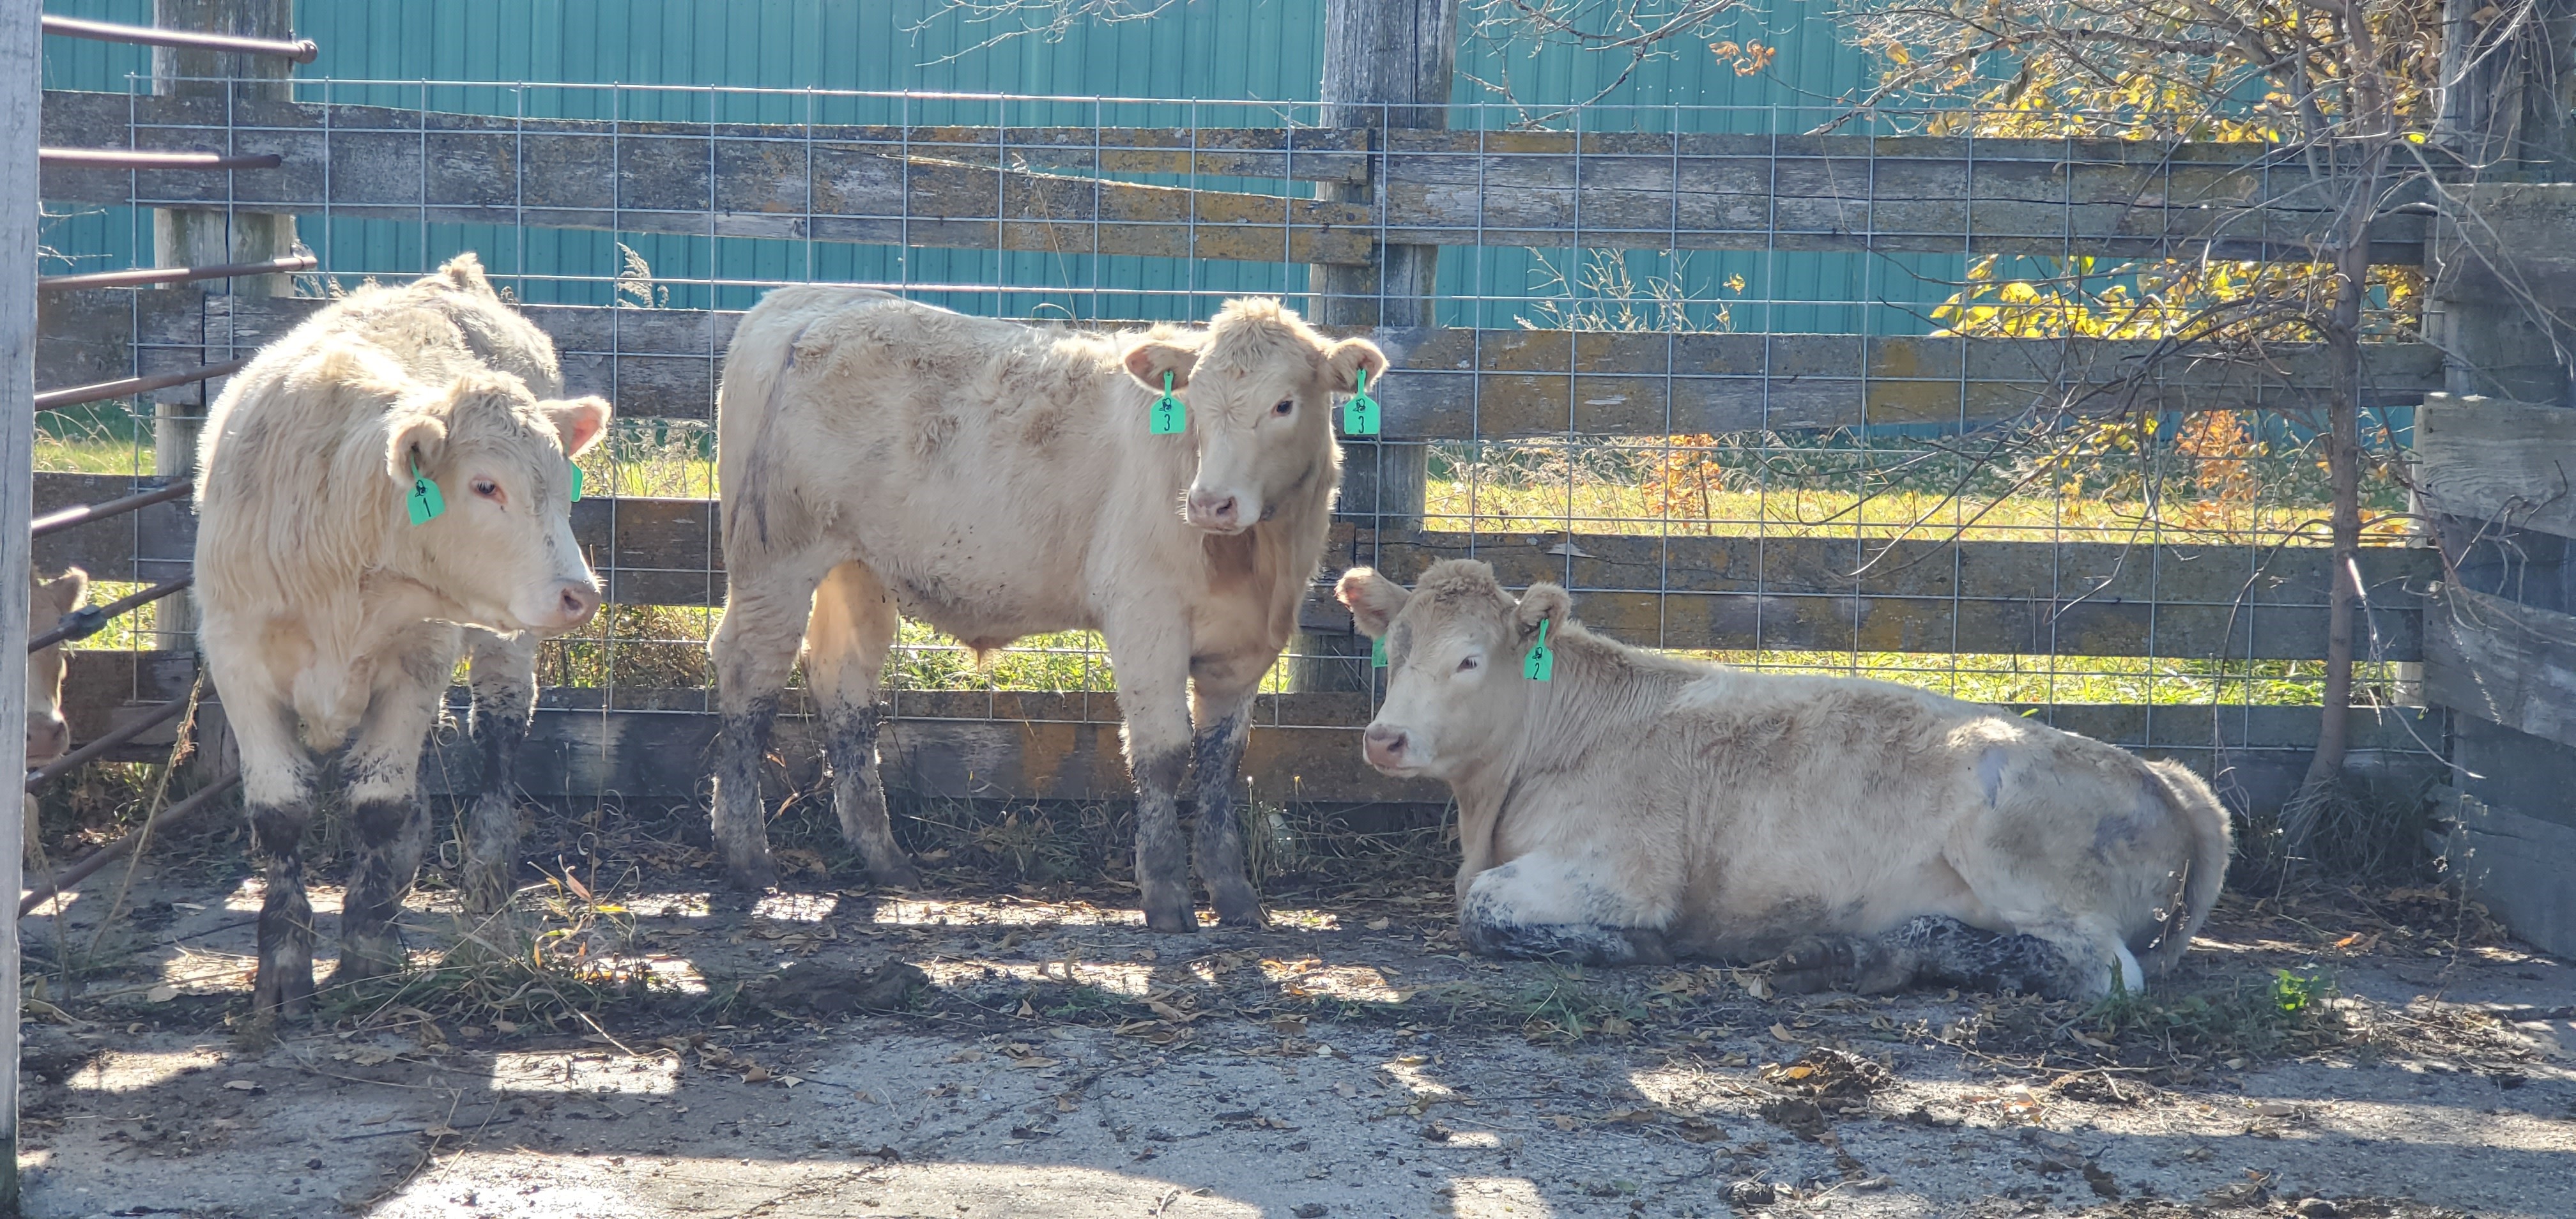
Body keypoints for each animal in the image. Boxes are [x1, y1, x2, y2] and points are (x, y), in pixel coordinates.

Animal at [198, 256, 610, 1015]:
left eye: (562, 485)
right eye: (485, 486)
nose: (581, 594)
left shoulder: (418, 655)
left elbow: (378, 803)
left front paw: (370, 946)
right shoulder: (237, 656)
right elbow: (281, 810)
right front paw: (285, 959)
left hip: (506, 645)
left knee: (498, 732)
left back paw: (485, 881)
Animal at [1339, 562, 2225, 1000]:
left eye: (1469, 660)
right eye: (1393, 647)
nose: (1384, 738)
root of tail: (2167, 775)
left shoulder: (1620, 873)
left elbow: (1483, 909)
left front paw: (1627, 948)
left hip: (2015, 855)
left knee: (2105, 974)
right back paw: (1850, 955)